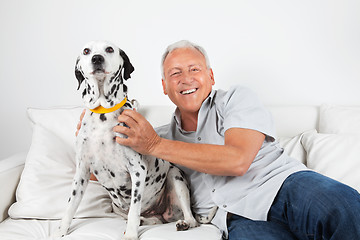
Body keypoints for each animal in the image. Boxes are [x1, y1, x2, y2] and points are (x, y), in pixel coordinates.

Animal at [52, 40, 217, 238]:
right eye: (86, 51)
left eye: (109, 49)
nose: (97, 58)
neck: (103, 114)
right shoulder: (82, 171)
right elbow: (71, 205)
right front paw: (60, 231)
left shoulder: (137, 170)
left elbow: (133, 210)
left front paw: (130, 235)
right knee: (153, 220)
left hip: (175, 177)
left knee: (191, 219)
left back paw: (184, 222)